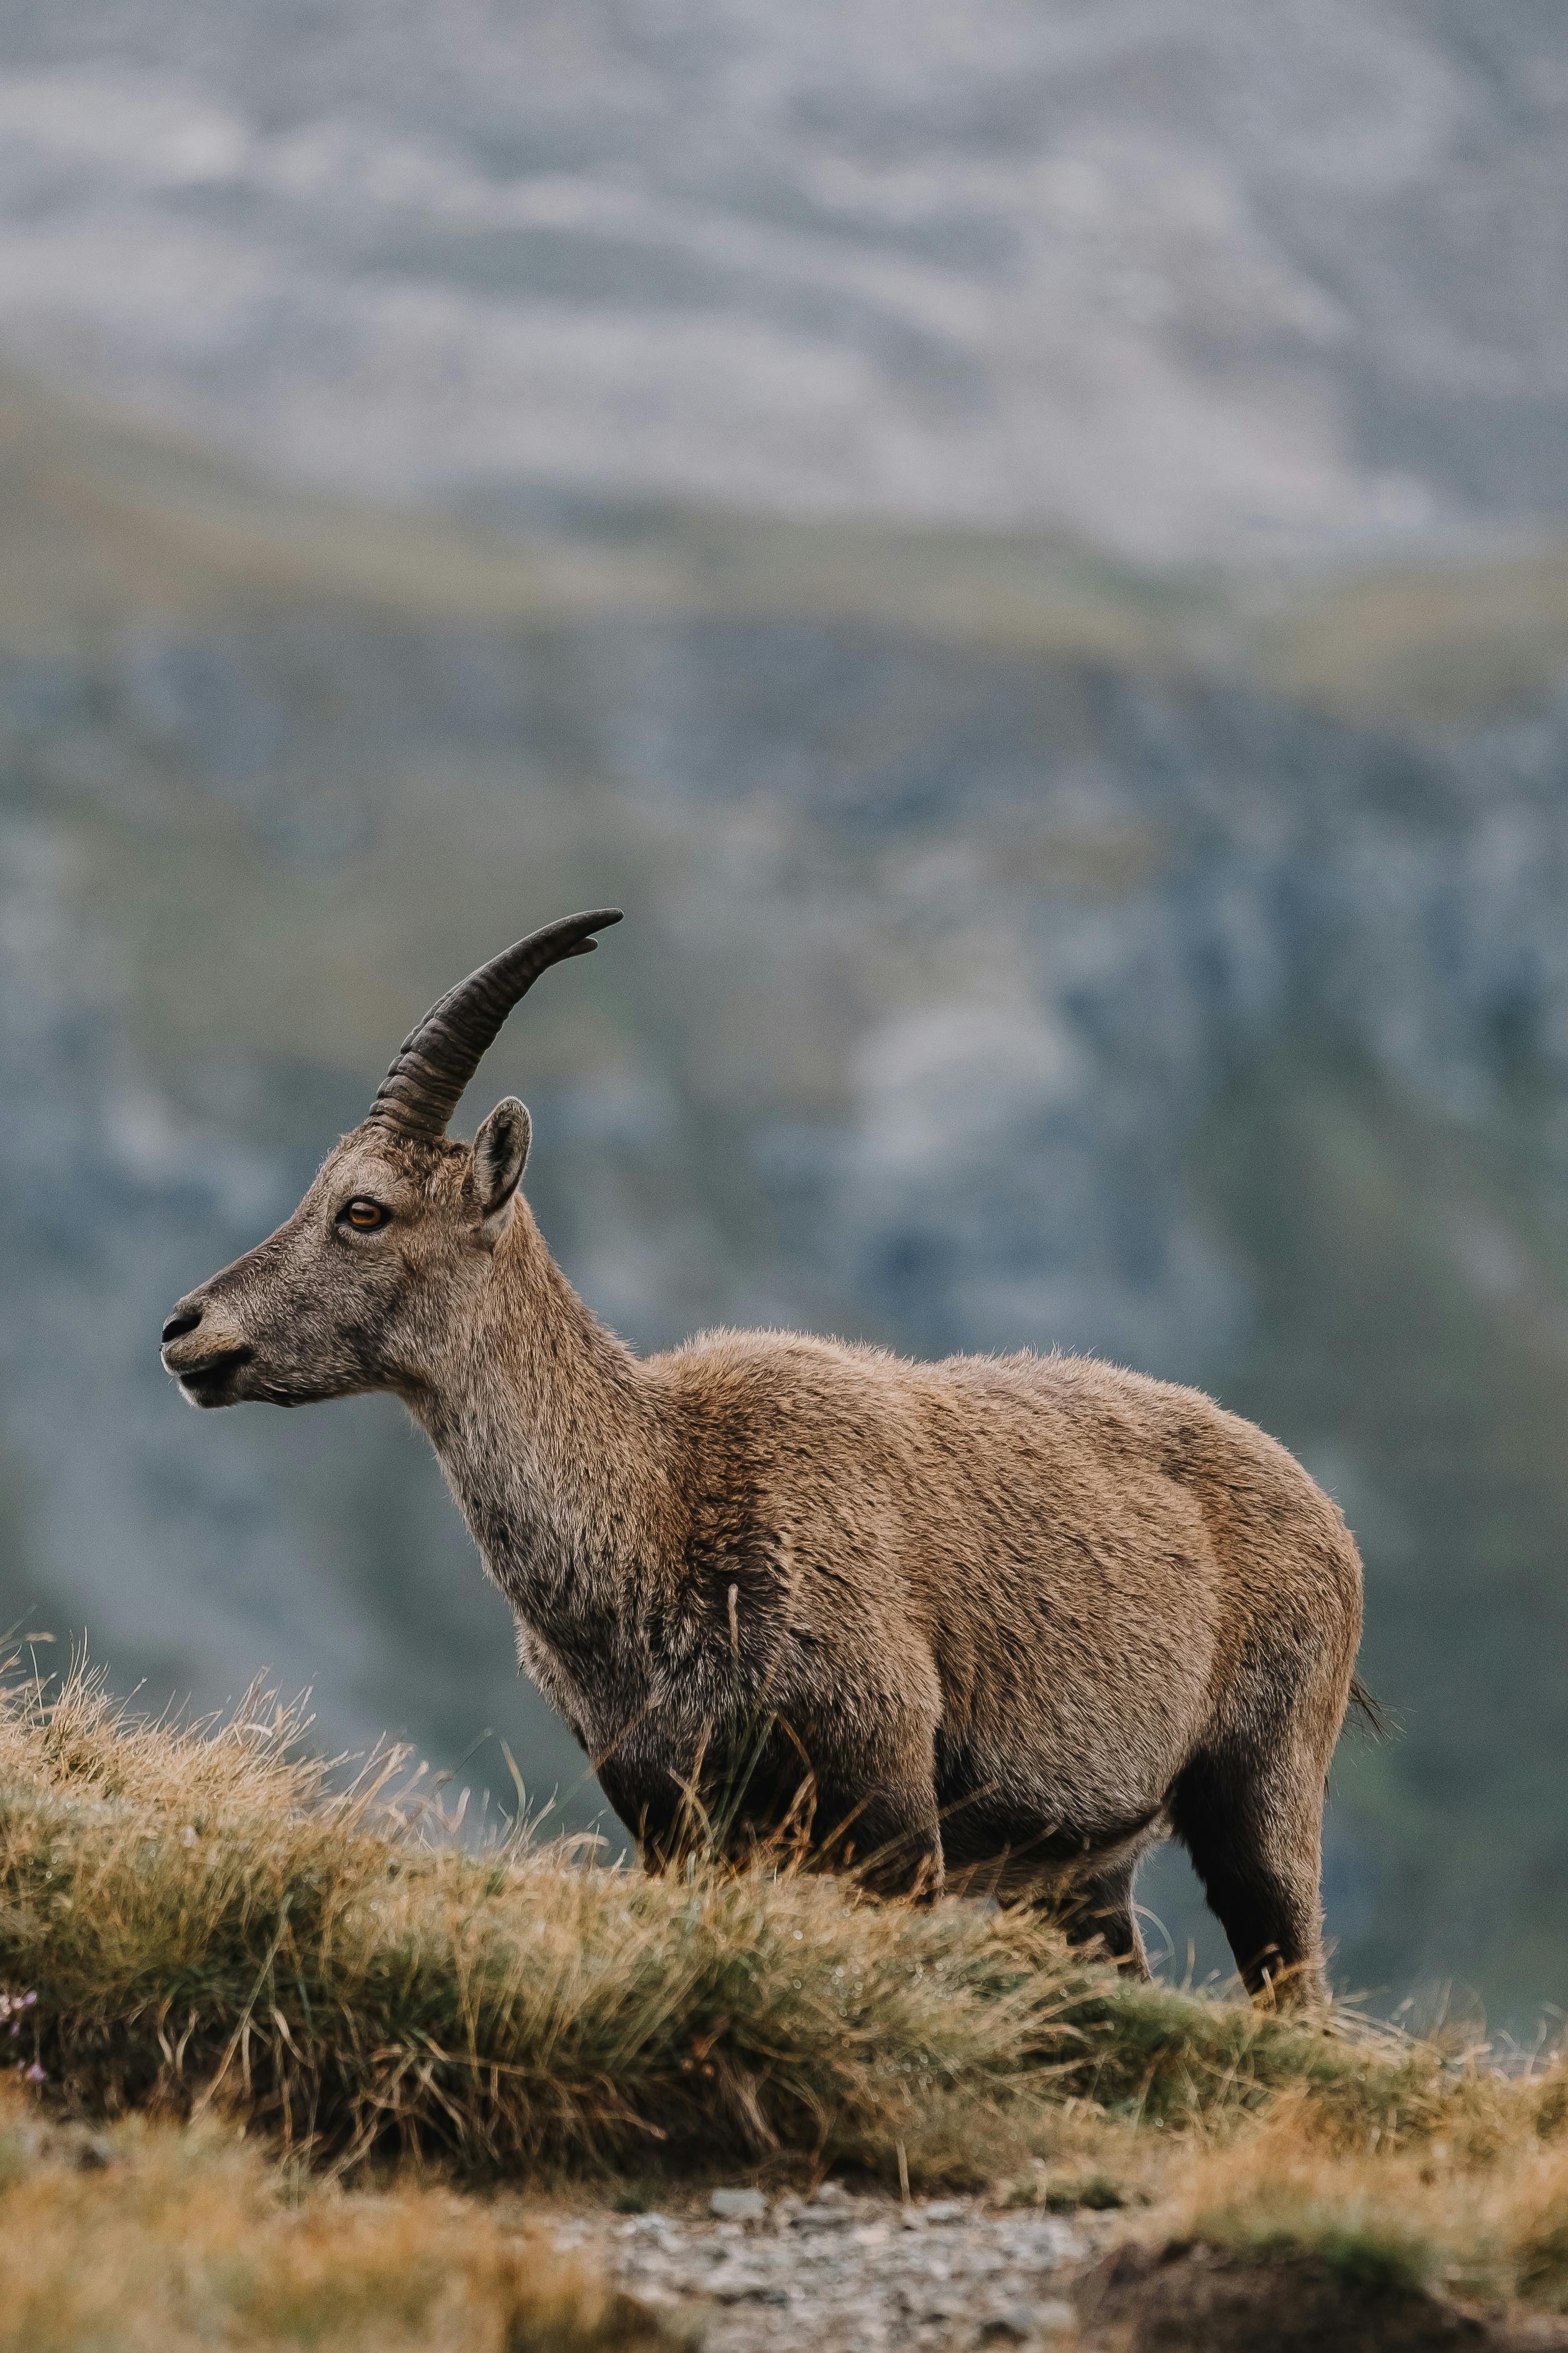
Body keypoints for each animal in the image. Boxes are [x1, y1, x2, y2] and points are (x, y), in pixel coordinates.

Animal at [161, 909, 1365, 2003]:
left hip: (1261, 1783)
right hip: (1078, 1874)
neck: (659, 1501)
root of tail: (1324, 1513)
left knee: (1293, 1979)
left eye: (365, 1209)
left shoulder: (888, 1794)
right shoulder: (663, 1809)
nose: (185, 1328)